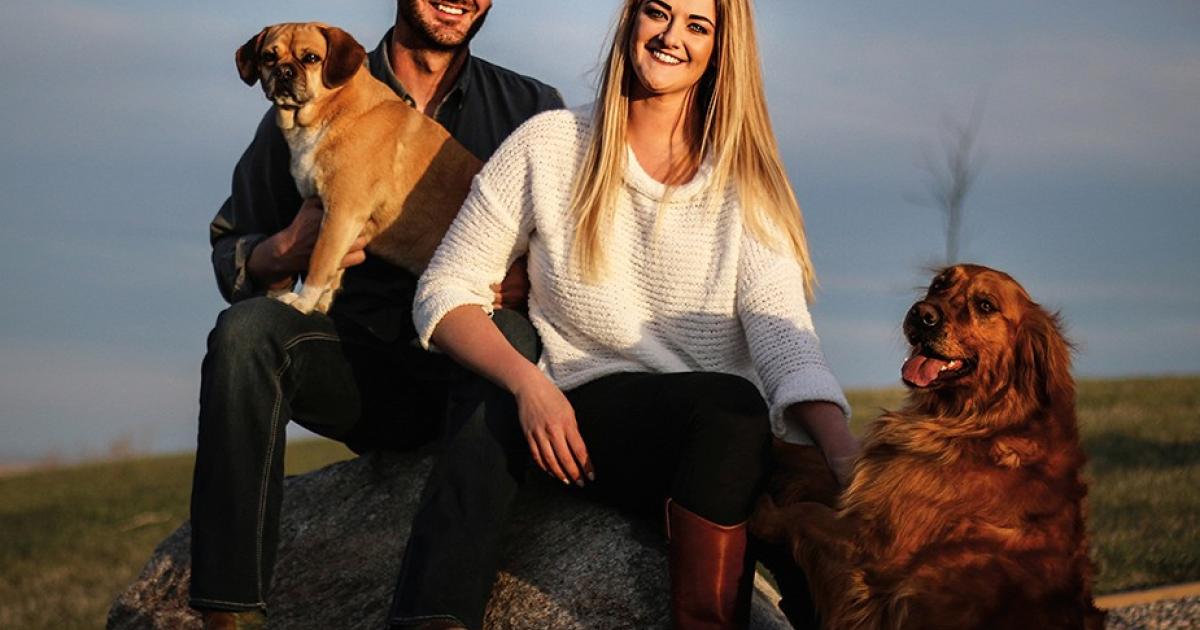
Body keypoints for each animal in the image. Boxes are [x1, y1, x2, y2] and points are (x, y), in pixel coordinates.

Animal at [236, 23, 480, 312]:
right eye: (268, 57)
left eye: (311, 58)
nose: (284, 71)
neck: (331, 110)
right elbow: (335, 268)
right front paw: (320, 304)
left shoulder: (342, 212)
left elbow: (320, 261)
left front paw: (303, 302)